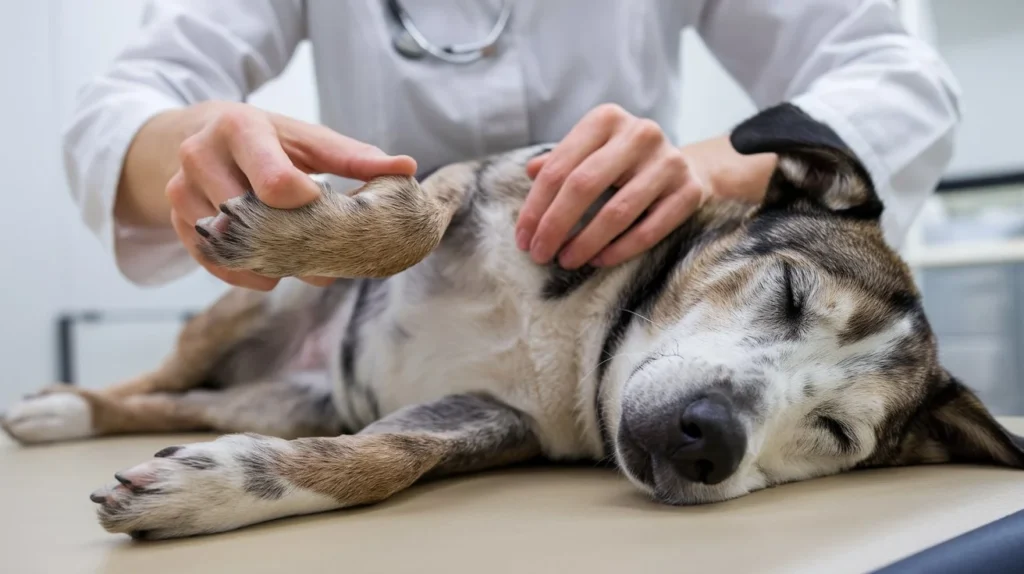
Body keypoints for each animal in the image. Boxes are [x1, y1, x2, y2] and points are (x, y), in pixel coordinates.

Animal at [2, 101, 1024, 536]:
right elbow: (411, 214)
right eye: (787, 291)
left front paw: (214, 490)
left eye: (835, 433)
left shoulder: (488, 421)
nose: (709, 440)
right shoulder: (499, 181)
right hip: (253, 314)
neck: (588, 344)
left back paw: (77, 417)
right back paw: (60, 405)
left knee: (184, 406)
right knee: (158, 377)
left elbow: (382, 461)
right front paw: (303, 228)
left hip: (284, 402)